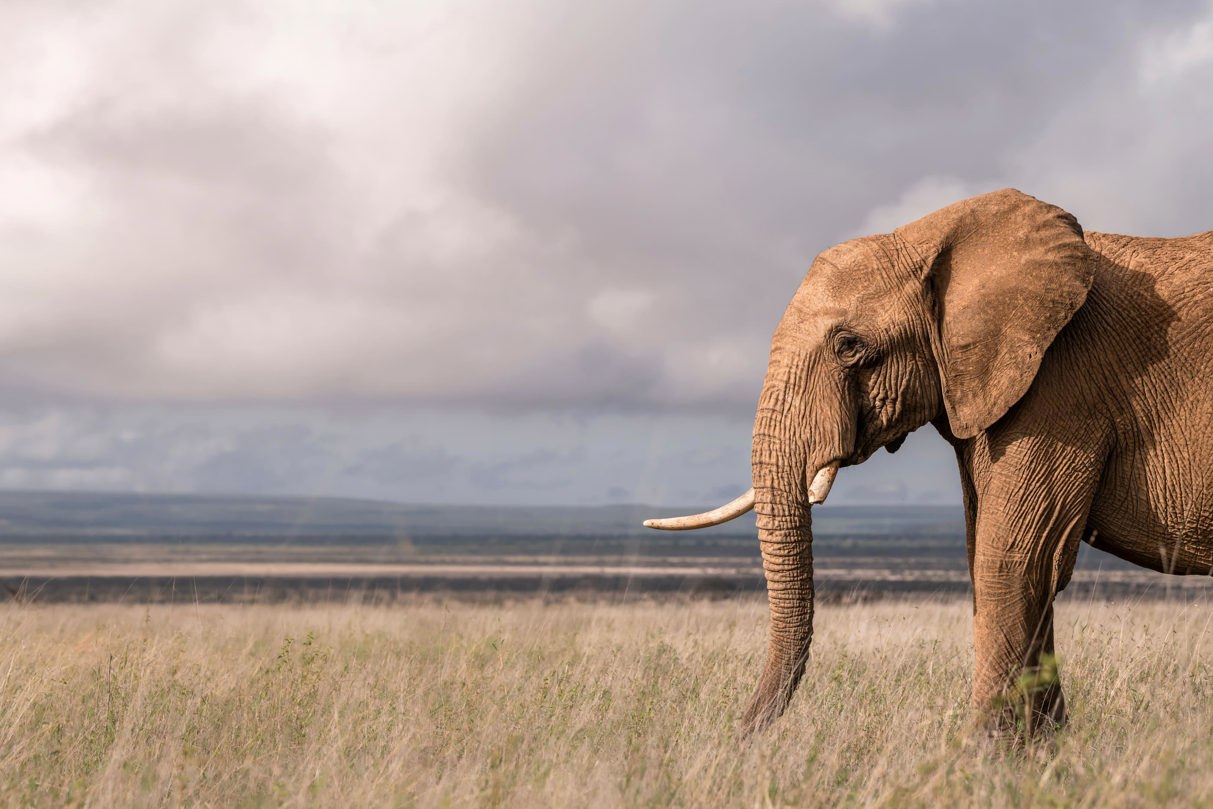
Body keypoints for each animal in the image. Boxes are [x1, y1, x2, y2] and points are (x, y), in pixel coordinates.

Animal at [645, 189, 1213, 738]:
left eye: (849, 346)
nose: (738, 738)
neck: (934, 237)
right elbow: (997, 559)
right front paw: (1043, 756)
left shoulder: (1063, 388)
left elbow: (1013, 560)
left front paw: (982, 759)